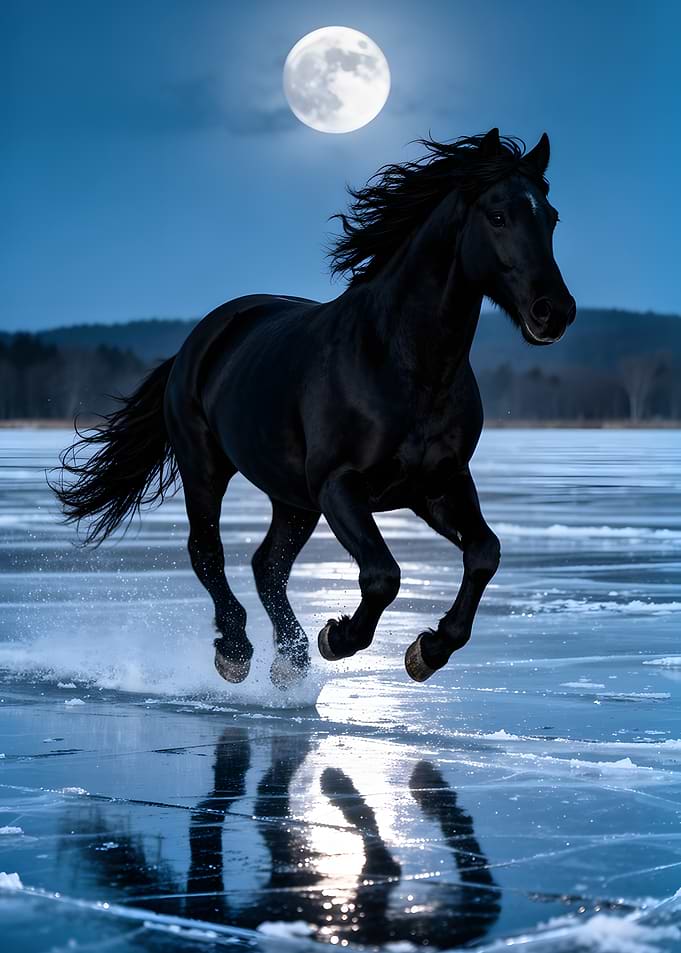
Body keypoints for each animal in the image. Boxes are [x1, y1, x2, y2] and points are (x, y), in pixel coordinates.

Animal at [54, 128, 575, 690]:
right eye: (498, 216)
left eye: (550, 217)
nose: (554, 311)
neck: (404, 363)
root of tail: (202, 337)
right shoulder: (339, 484)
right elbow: (383, 575)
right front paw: (339, 637)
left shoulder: (438, 484)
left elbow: (484, 554)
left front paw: (427, 650)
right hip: (206, 466)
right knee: (208, 552)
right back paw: (237, 652)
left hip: (293, 498)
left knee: (267, 565)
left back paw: (291, 660)